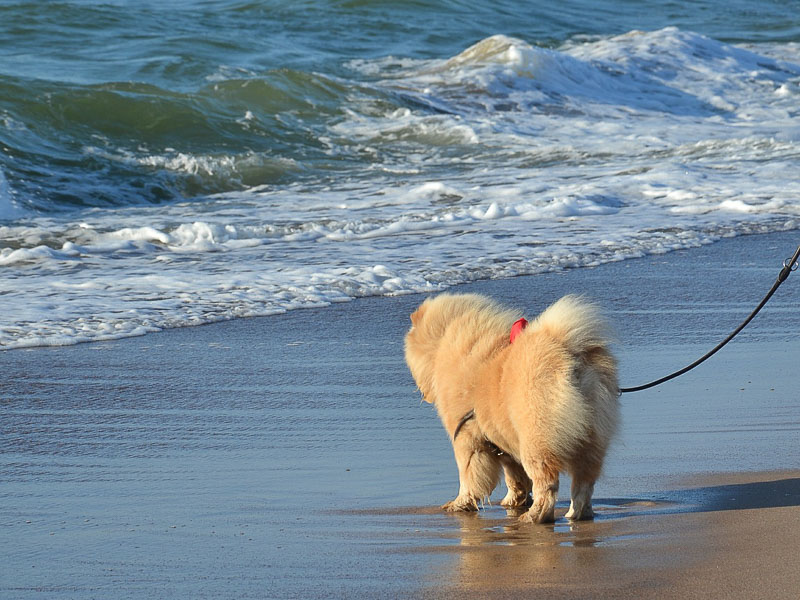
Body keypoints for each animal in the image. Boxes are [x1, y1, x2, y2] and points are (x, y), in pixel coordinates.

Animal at [406, 292, 620, 524]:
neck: (441, 345)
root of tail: (571, 356)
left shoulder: (466, 438)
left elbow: (468, 474)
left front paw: (459, 504)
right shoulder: (504, 443)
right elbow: (515, 477)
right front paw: (513, 500)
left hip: (537, 439)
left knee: (547, 484)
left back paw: (534, 516)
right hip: (591, 439)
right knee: (583, 484)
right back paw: (576, 514)